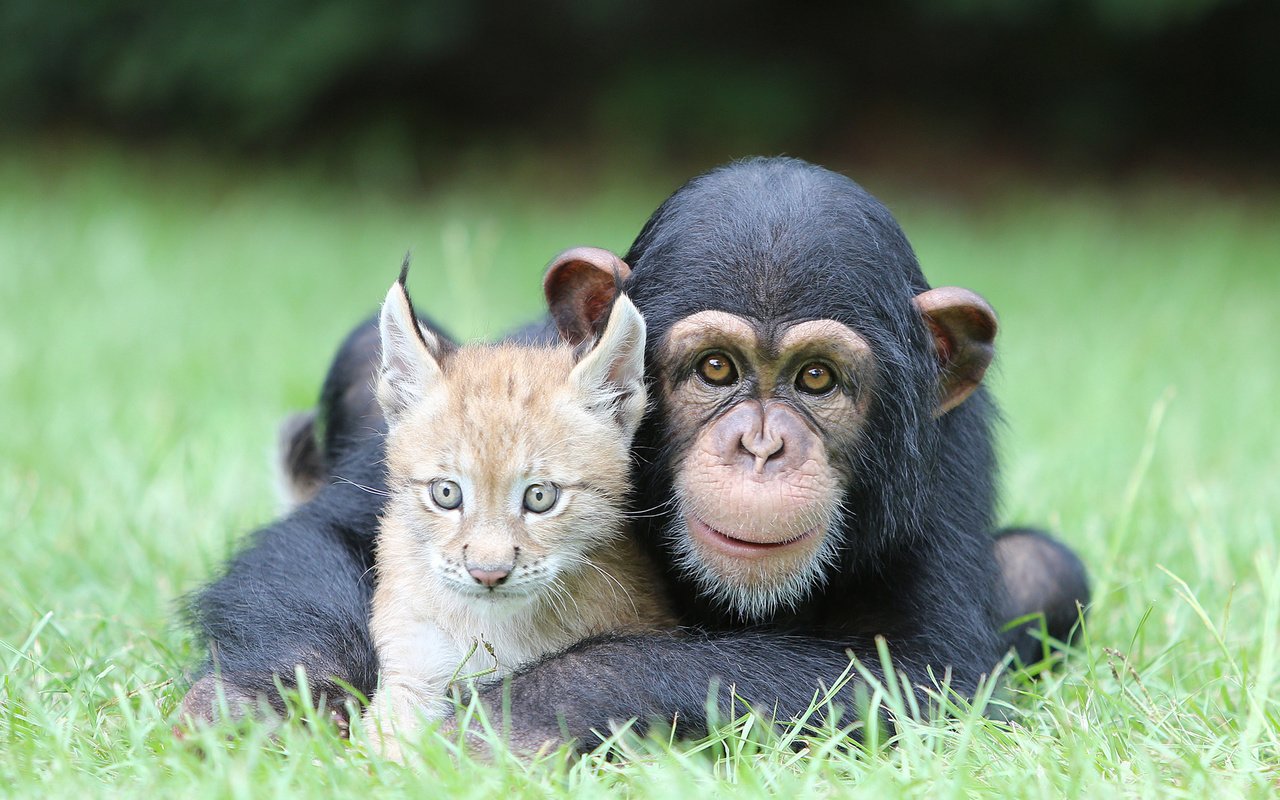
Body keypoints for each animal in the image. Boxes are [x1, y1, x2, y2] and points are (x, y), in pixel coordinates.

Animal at [183, 157, 1090, 747]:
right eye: (717, 369)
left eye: (817, 378)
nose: (762, 446)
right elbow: (326, 537)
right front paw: (260, 700)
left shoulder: (942, 471)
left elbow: (923, 677)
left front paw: (510, 718)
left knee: (1045, 568)